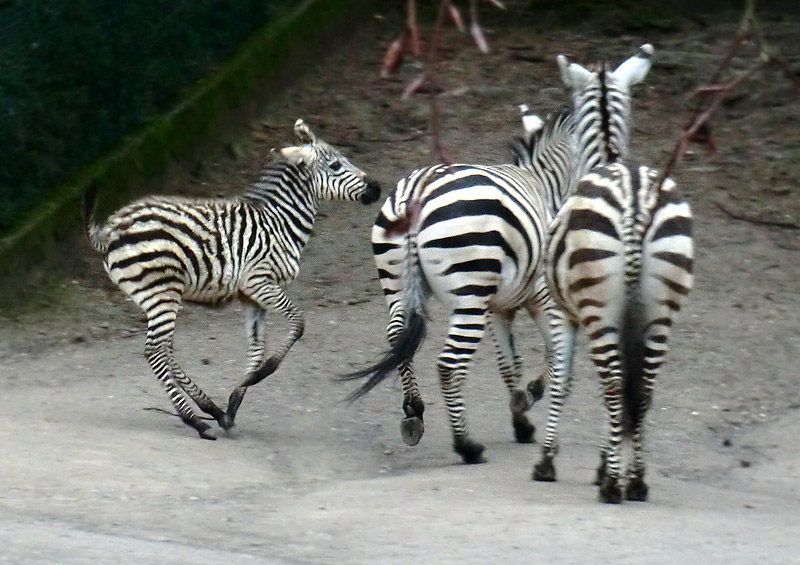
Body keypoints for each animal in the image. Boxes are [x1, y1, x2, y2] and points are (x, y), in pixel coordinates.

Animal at [84, 118, 382, 436]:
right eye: (336, 165)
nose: (376, 189)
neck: (279, 221)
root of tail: (109, 231)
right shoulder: (259, 282)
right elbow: (298, 324)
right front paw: (260, 376)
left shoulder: (252, 296)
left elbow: (256, 350)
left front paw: (235, 400)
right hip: (162, 293)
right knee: (155, 351)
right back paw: (195, 420)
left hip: (154, 297)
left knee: (165, 350)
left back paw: (211, 408)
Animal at [342, 110, 576, 462]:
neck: (541, 184)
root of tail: (417, 193)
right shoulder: (542, 298)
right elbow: (554, 353)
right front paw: (531, 397)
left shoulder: (498, 308)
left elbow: (509, 364)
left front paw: (521, 418)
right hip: (469, 297)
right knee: (449, 366)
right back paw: (467, 445)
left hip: (398, 284)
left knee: (398, 336)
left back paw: (414, 411)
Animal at [532, 45, 692, 502]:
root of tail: (636, 200)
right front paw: (608, 462)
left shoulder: (562, 313)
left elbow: (562, 378)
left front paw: (549, 460)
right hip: (659, 310)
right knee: (643, 388)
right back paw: (635, 481)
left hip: (601, 309)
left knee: (615, 384)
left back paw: (613, 487)